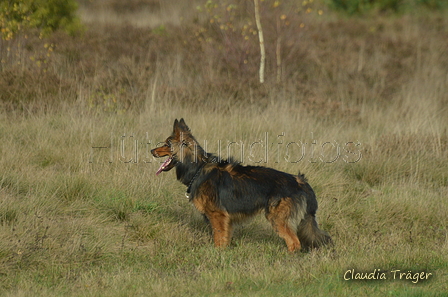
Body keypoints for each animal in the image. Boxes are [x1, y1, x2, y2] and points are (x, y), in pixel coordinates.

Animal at [152, 119, 330, 251]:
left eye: (167, 144)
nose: (151, 151)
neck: (197, 168)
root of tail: (299, 180)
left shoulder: (217, 215)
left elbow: (218, 239)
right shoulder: (226, 220)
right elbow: (224, 238)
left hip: (278, 219)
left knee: (294, 243)